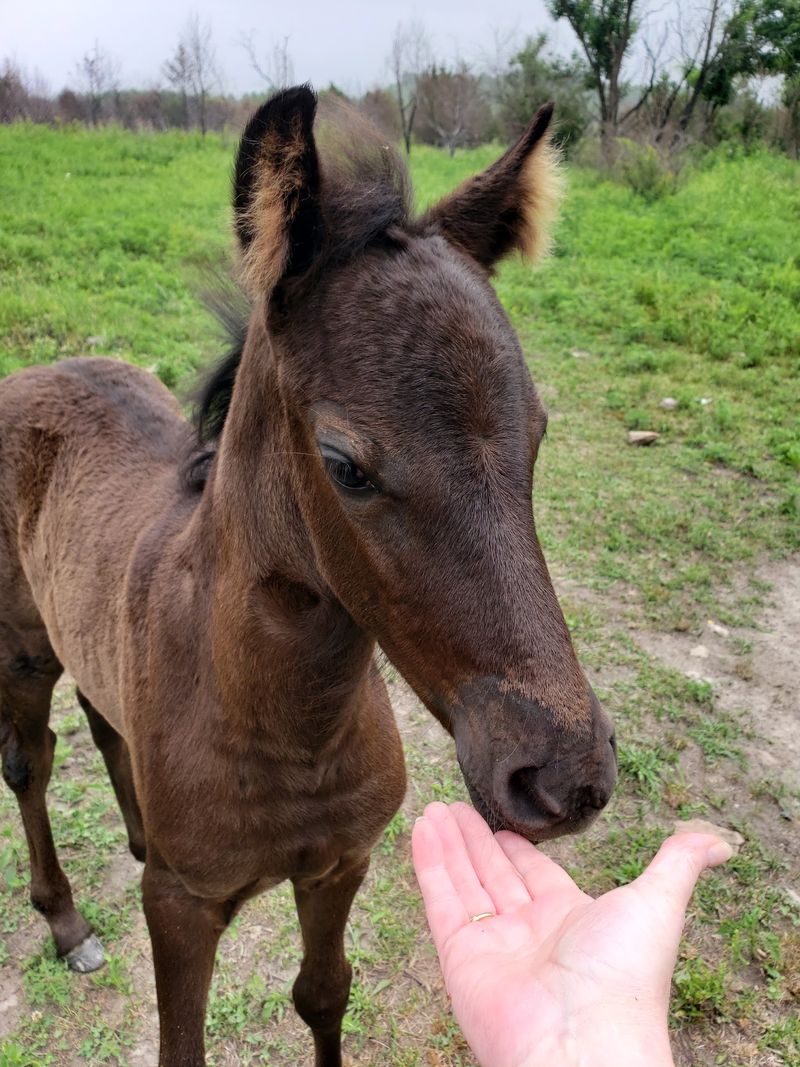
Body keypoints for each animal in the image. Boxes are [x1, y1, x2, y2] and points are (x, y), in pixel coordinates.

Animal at [0, 86, 617, 1066]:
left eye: (541, 430)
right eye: (345, 464)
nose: (566, 777)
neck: (289, 727)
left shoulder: (339, 863)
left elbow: (323, 994)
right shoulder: (182, 909)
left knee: (104, 721)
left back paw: (136, 833)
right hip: (22, 649)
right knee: (31, 760)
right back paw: (66, 923)